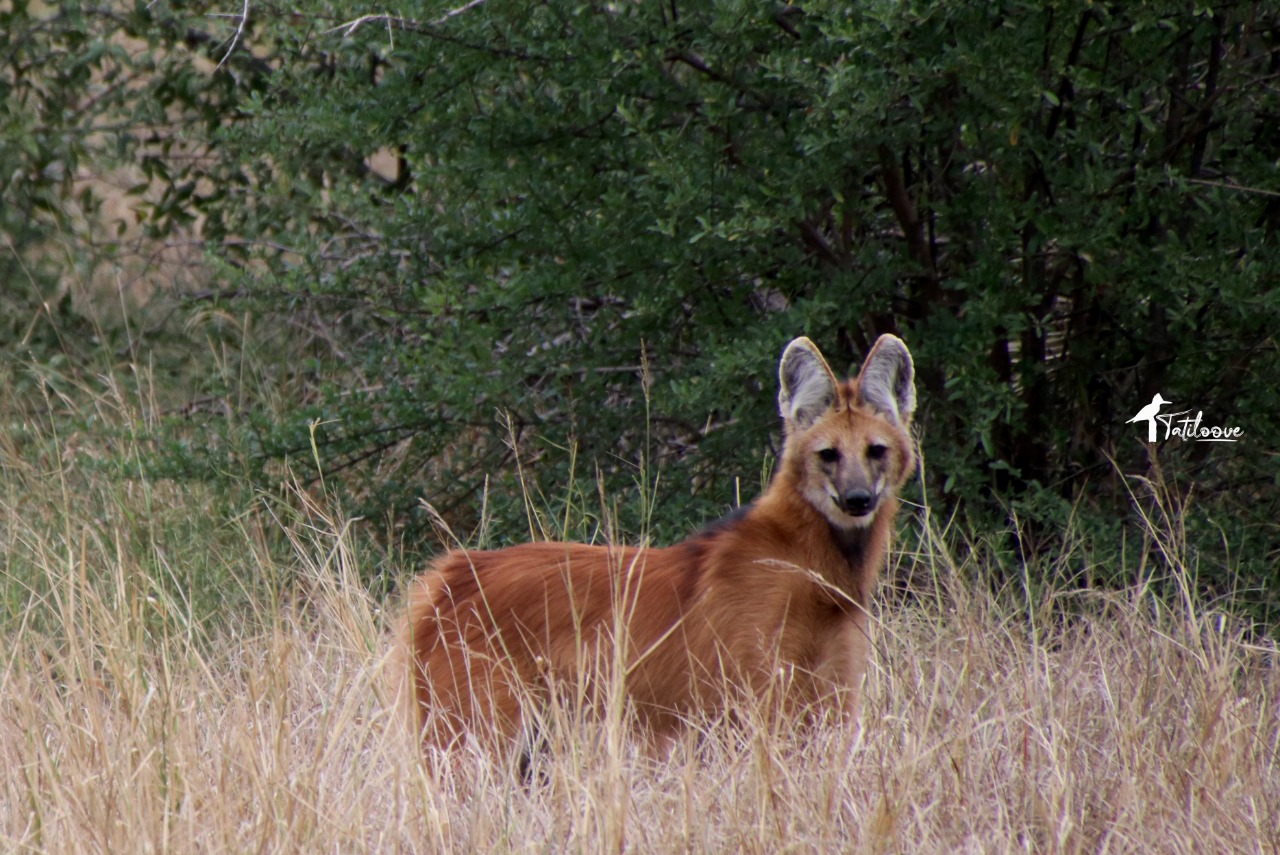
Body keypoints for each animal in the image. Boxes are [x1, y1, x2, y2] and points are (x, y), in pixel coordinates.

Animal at [394, 332, 916, 747]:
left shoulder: (828, 696)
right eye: (829, 454)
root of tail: (451, 572)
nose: (857, 500)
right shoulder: (761, 699)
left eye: (876, 451)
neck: (817, 569)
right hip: (476, 737)